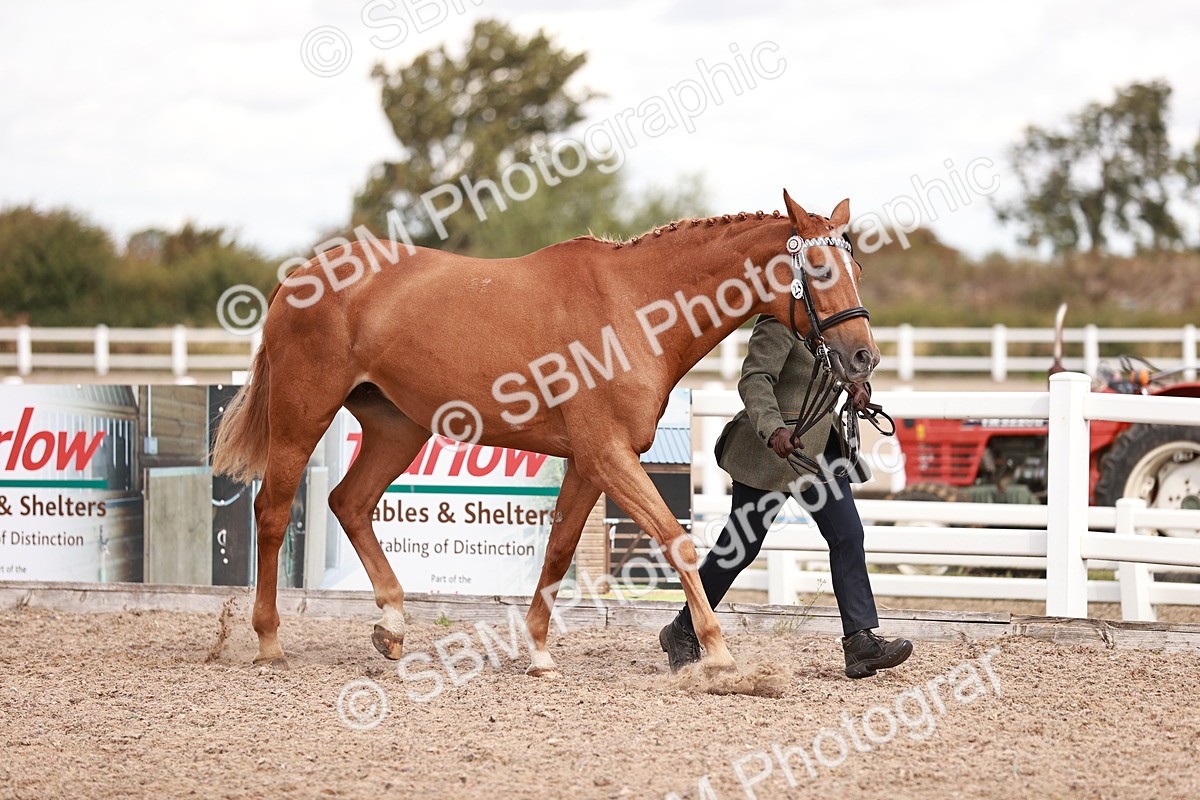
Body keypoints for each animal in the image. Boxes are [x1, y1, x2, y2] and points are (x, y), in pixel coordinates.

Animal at [211, 190, 879, 674]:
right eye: (818, 267)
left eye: (855, 266)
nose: (862, 357)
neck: (633, 307)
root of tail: (298, 277)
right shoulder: (609, 456)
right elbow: (677, 541)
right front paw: (716, 653)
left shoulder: (588, 461)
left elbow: (559, 550)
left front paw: (538, 652)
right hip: (302, 417)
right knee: (274, 513)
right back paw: (269, 642)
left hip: (396, 428)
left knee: (348, 503)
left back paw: (393, 627)